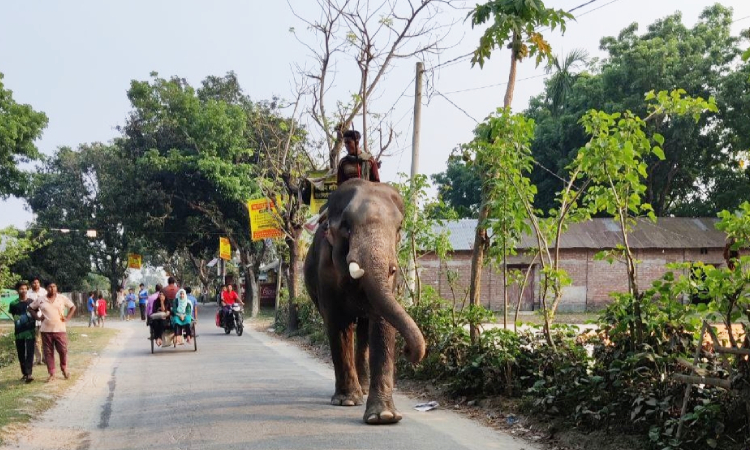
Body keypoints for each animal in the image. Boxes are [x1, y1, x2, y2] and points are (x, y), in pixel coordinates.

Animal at [302, 178, 426, 424]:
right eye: (346, 226)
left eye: (399, 228)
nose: (408, 351)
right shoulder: (325, 273)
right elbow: (338, 325)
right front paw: (347, 401)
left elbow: (382, 323)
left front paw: (384, 416)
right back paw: (353, 393)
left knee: (364, 330)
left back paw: (365, 387)